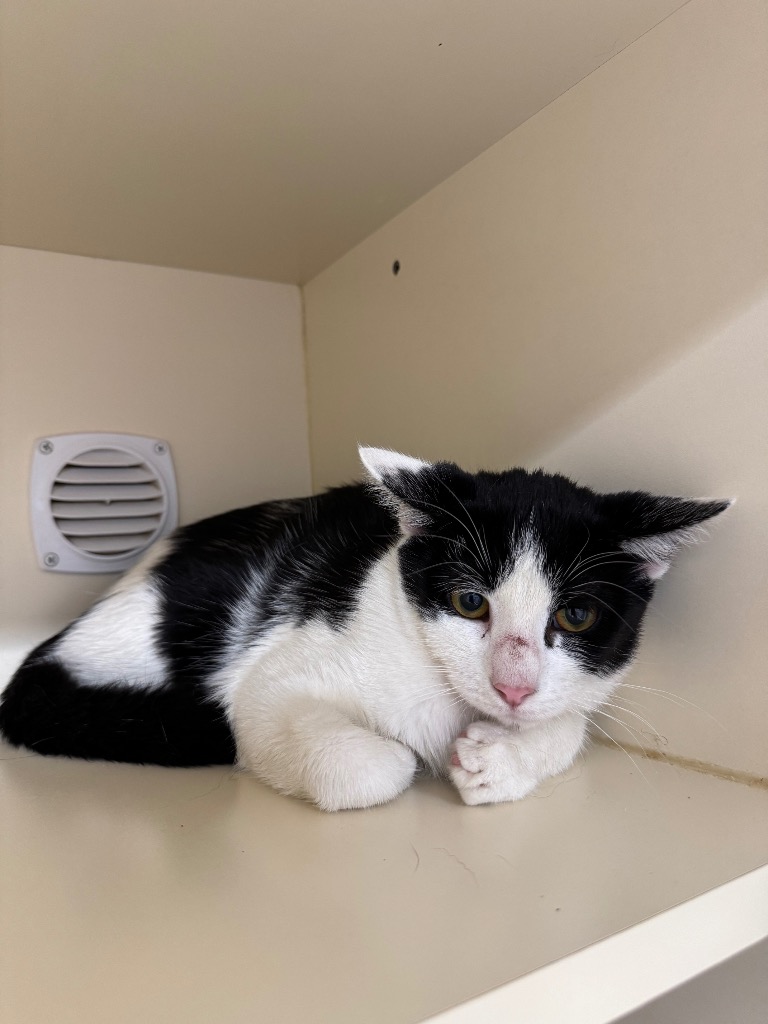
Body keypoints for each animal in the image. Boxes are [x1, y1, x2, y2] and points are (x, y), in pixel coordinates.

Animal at [0, 447, 729, 811]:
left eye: (575, 616)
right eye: (469, 602)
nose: (513, 687)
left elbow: (574, 719)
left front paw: (500, 760)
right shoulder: (273, 676)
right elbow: (367, 764)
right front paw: (415, 757)